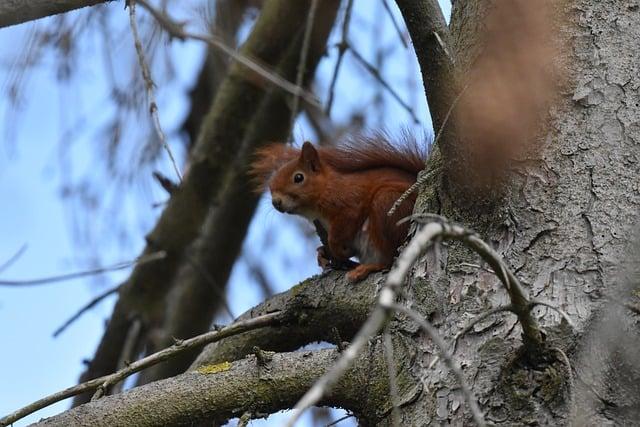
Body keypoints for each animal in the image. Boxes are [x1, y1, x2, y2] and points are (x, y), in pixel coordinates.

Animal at [250, 135, 424, 282]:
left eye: (298, 177)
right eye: (271, 186)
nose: (276, 202)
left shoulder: (349, 204)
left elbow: (337, 234)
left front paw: (335, 249)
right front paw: (323, 253)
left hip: (387, 203)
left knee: (390, 259)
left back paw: (367, 268)